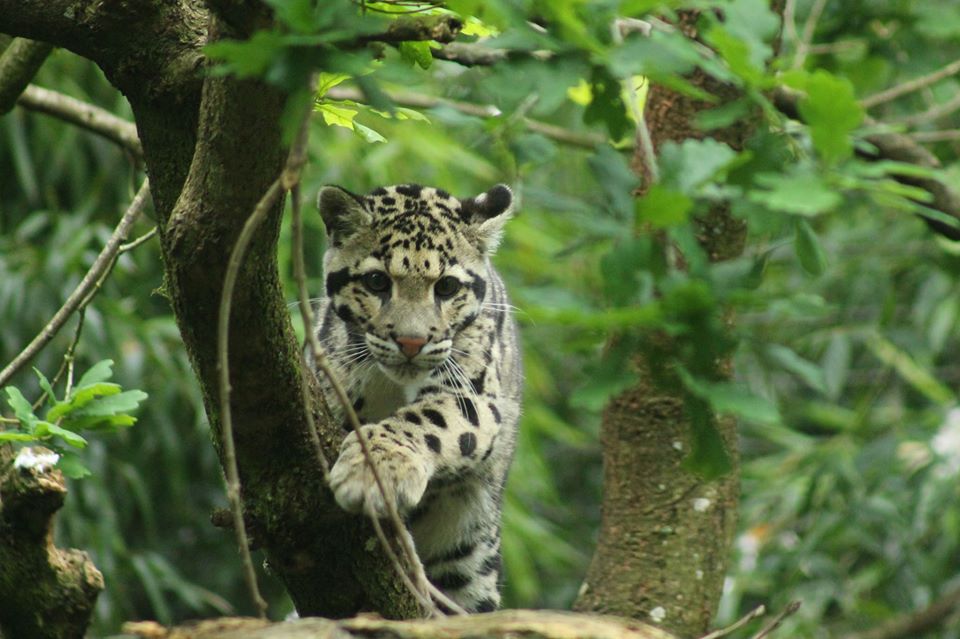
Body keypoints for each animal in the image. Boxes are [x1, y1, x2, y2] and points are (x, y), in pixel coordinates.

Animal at [309, 183, 522, 613]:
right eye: (376, 281)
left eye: (447, 287)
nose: (411, 341)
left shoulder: (471, 393)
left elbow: (424, 420)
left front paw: (372, 473)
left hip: (469, 551)